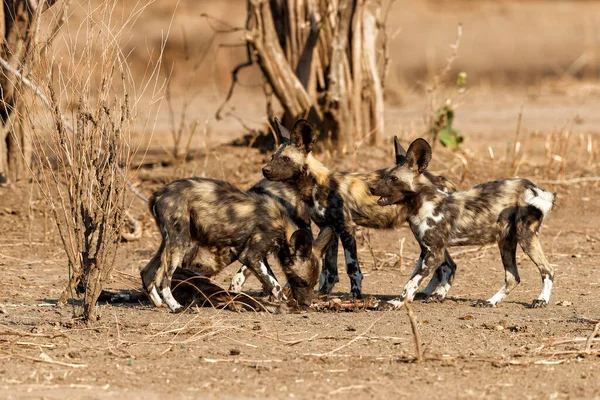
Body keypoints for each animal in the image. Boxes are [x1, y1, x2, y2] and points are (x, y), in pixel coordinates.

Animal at [142, 178, 336, 312]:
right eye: (301, 281)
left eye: (313, 283)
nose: (307, 304)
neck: (283, 227)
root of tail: (159, 194)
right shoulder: (251, 256)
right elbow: (276, 285)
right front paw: (284, 303)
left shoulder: (257, 257)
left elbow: (263, 281)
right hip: (180, 243)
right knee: (164, 279)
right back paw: (175, 307)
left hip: (168, 243)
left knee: (146, 271)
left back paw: (158, 303)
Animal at [255, 117, 458, 298]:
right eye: (273, 157)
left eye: (286, 159)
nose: (265, 170)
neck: (315, 185)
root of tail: (443, 180)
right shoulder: (329, 229)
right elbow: (330, 271)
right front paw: (323, 294)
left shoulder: (346, 229)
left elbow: (352, 268)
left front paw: (355, 294)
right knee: (445, 264)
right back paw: (428, 293)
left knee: (448, 264)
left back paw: (438, 294)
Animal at [370, 138, 556, 310]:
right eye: (384, 176)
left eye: (393, 179)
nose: (371, 188)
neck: (423, 204)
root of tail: (533, 187)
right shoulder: (426, 251)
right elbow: (415, 280)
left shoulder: (434, 254)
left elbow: (410, 283)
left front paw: (394, 303)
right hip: (505, 242)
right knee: (513, 277)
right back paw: (489, 302)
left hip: (525, 237)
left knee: (547, 270)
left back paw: (541, 300)